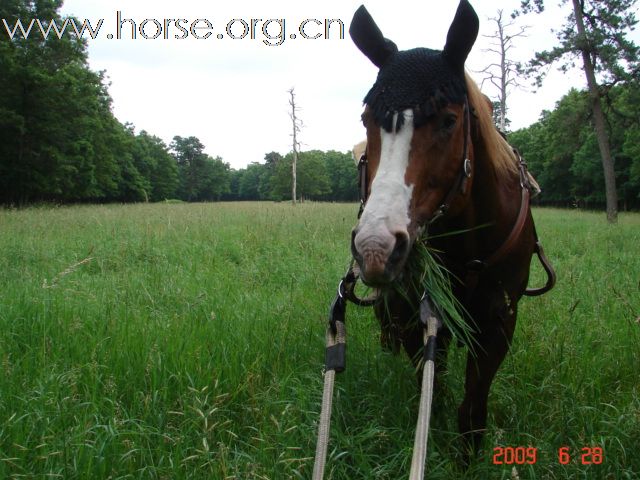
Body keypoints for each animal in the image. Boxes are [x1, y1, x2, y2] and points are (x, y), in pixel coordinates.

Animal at [348, 0, 552, 462]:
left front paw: (467, 457)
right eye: (368, 119)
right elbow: (432, 384)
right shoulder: (415, 313)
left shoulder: (499, 320)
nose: (377, 247)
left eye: (448, 120)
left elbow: (473, 403)